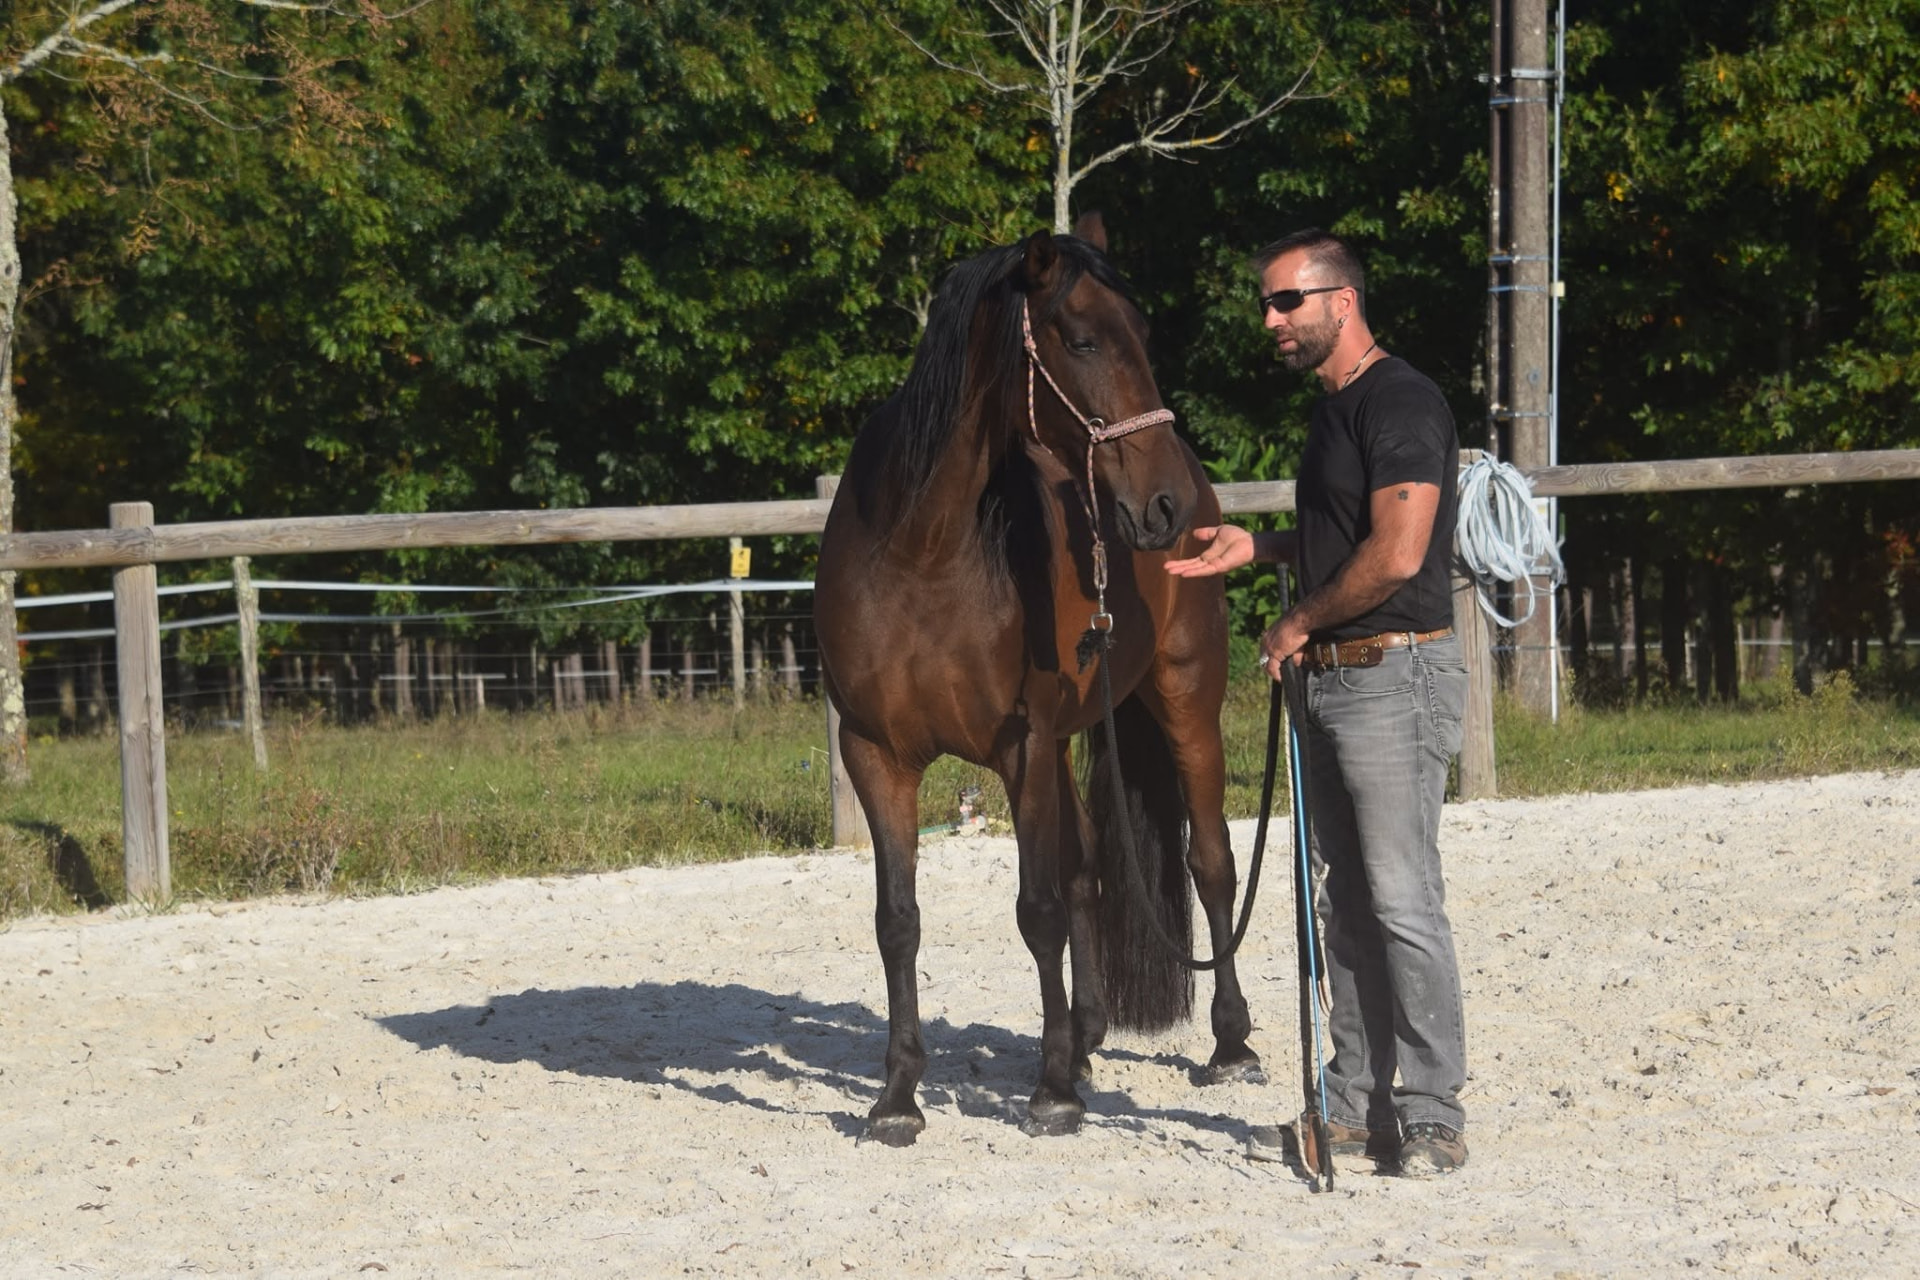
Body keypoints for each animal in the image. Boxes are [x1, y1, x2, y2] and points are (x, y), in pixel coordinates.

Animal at [813, 214, 1259, 1146]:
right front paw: (898, 1097)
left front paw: (1051, 1093)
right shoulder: (877, 754)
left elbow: (1038, 909)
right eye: (1084, 339)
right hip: (1066, 741)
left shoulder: (1021, 748)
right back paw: (1085, 1038)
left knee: (1210, 862)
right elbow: (897, 921)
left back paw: (1229, 1044)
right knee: (1091, 869)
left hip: (1183, 700)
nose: (1163, 506)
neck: (923, 553)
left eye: (1144, 335)